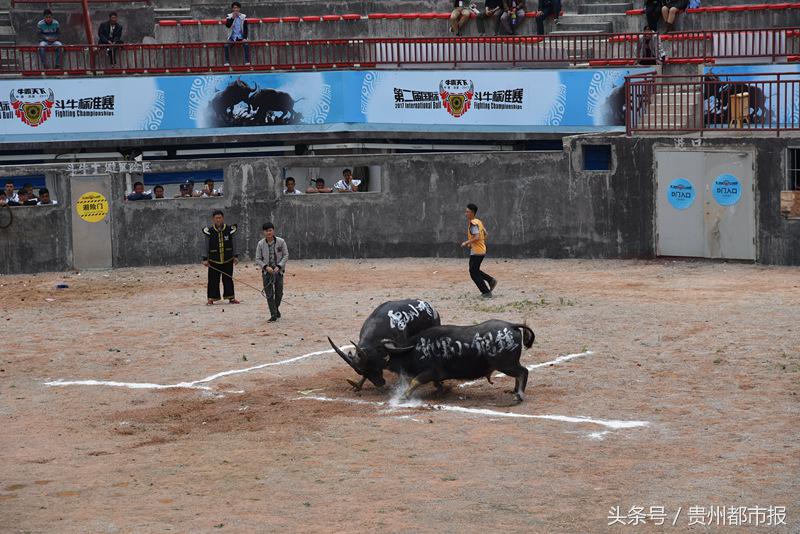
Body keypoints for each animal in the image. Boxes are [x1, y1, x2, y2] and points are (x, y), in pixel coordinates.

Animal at [382, 320, 536, 404]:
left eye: (390, 355)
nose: (386, 366)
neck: (417, 348)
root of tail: (511, 326)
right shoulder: (435, 375)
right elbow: (436, 383)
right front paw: (440, 391)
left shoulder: (429, 372)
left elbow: (415, 381)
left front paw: (403, 397)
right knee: (520, 374)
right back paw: (514, 391)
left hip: (506, 365)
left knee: (523, 372)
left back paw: (519, 395)